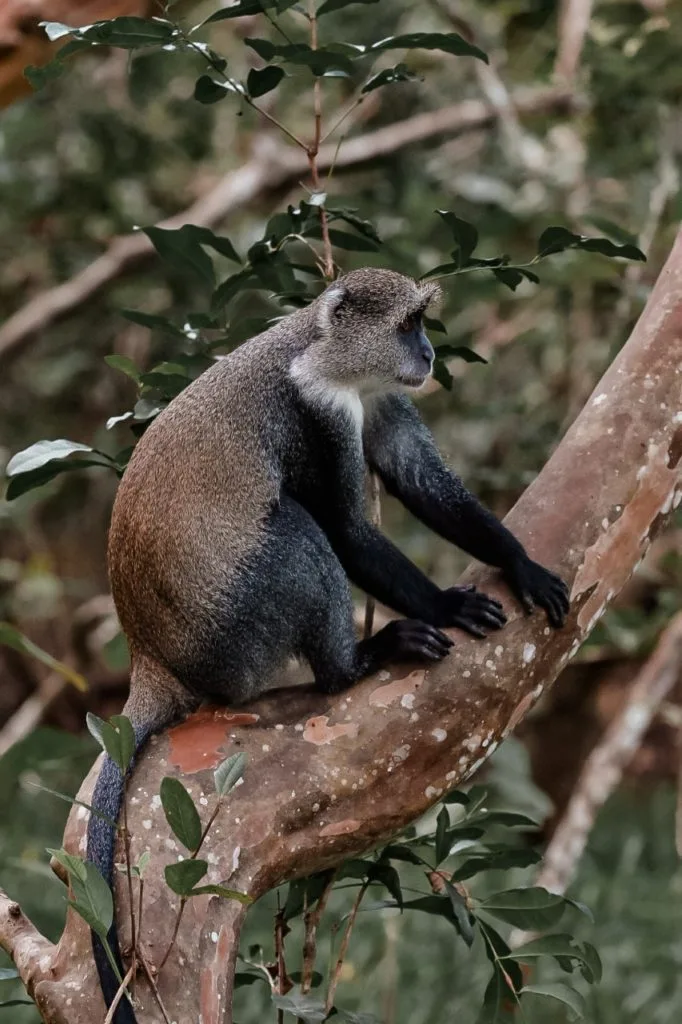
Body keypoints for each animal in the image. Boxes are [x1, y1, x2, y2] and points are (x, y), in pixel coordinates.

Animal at [86, 267, 569, 1021]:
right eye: (409, 323)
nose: (428, 354)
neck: (322, 349)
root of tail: (152, 662)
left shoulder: (378, 397)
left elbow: (416, 479)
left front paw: (519, 563)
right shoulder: (319, 412)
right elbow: (343, 528)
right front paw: (447, 605)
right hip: (237, 634)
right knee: (296, 528)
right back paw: (354, 664)